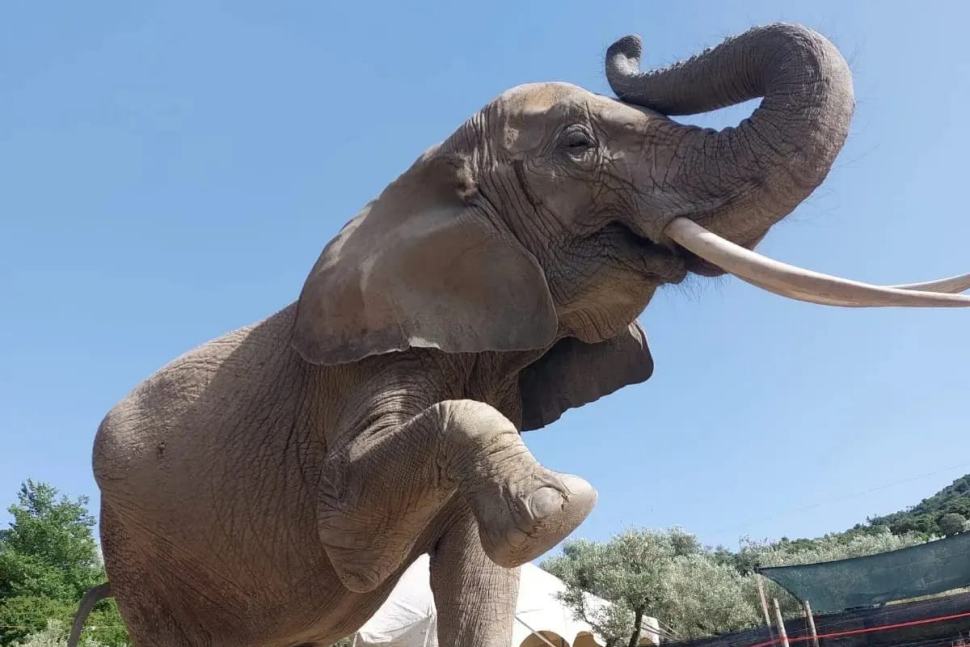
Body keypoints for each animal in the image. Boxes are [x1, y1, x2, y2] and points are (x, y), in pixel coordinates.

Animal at [70, 23, 969, 647]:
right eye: (577, 146)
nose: (628, 42)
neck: (427, 179)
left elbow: (478, 577)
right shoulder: (370, 362)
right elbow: (351, 535)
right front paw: (559, 504)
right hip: (138, 553)